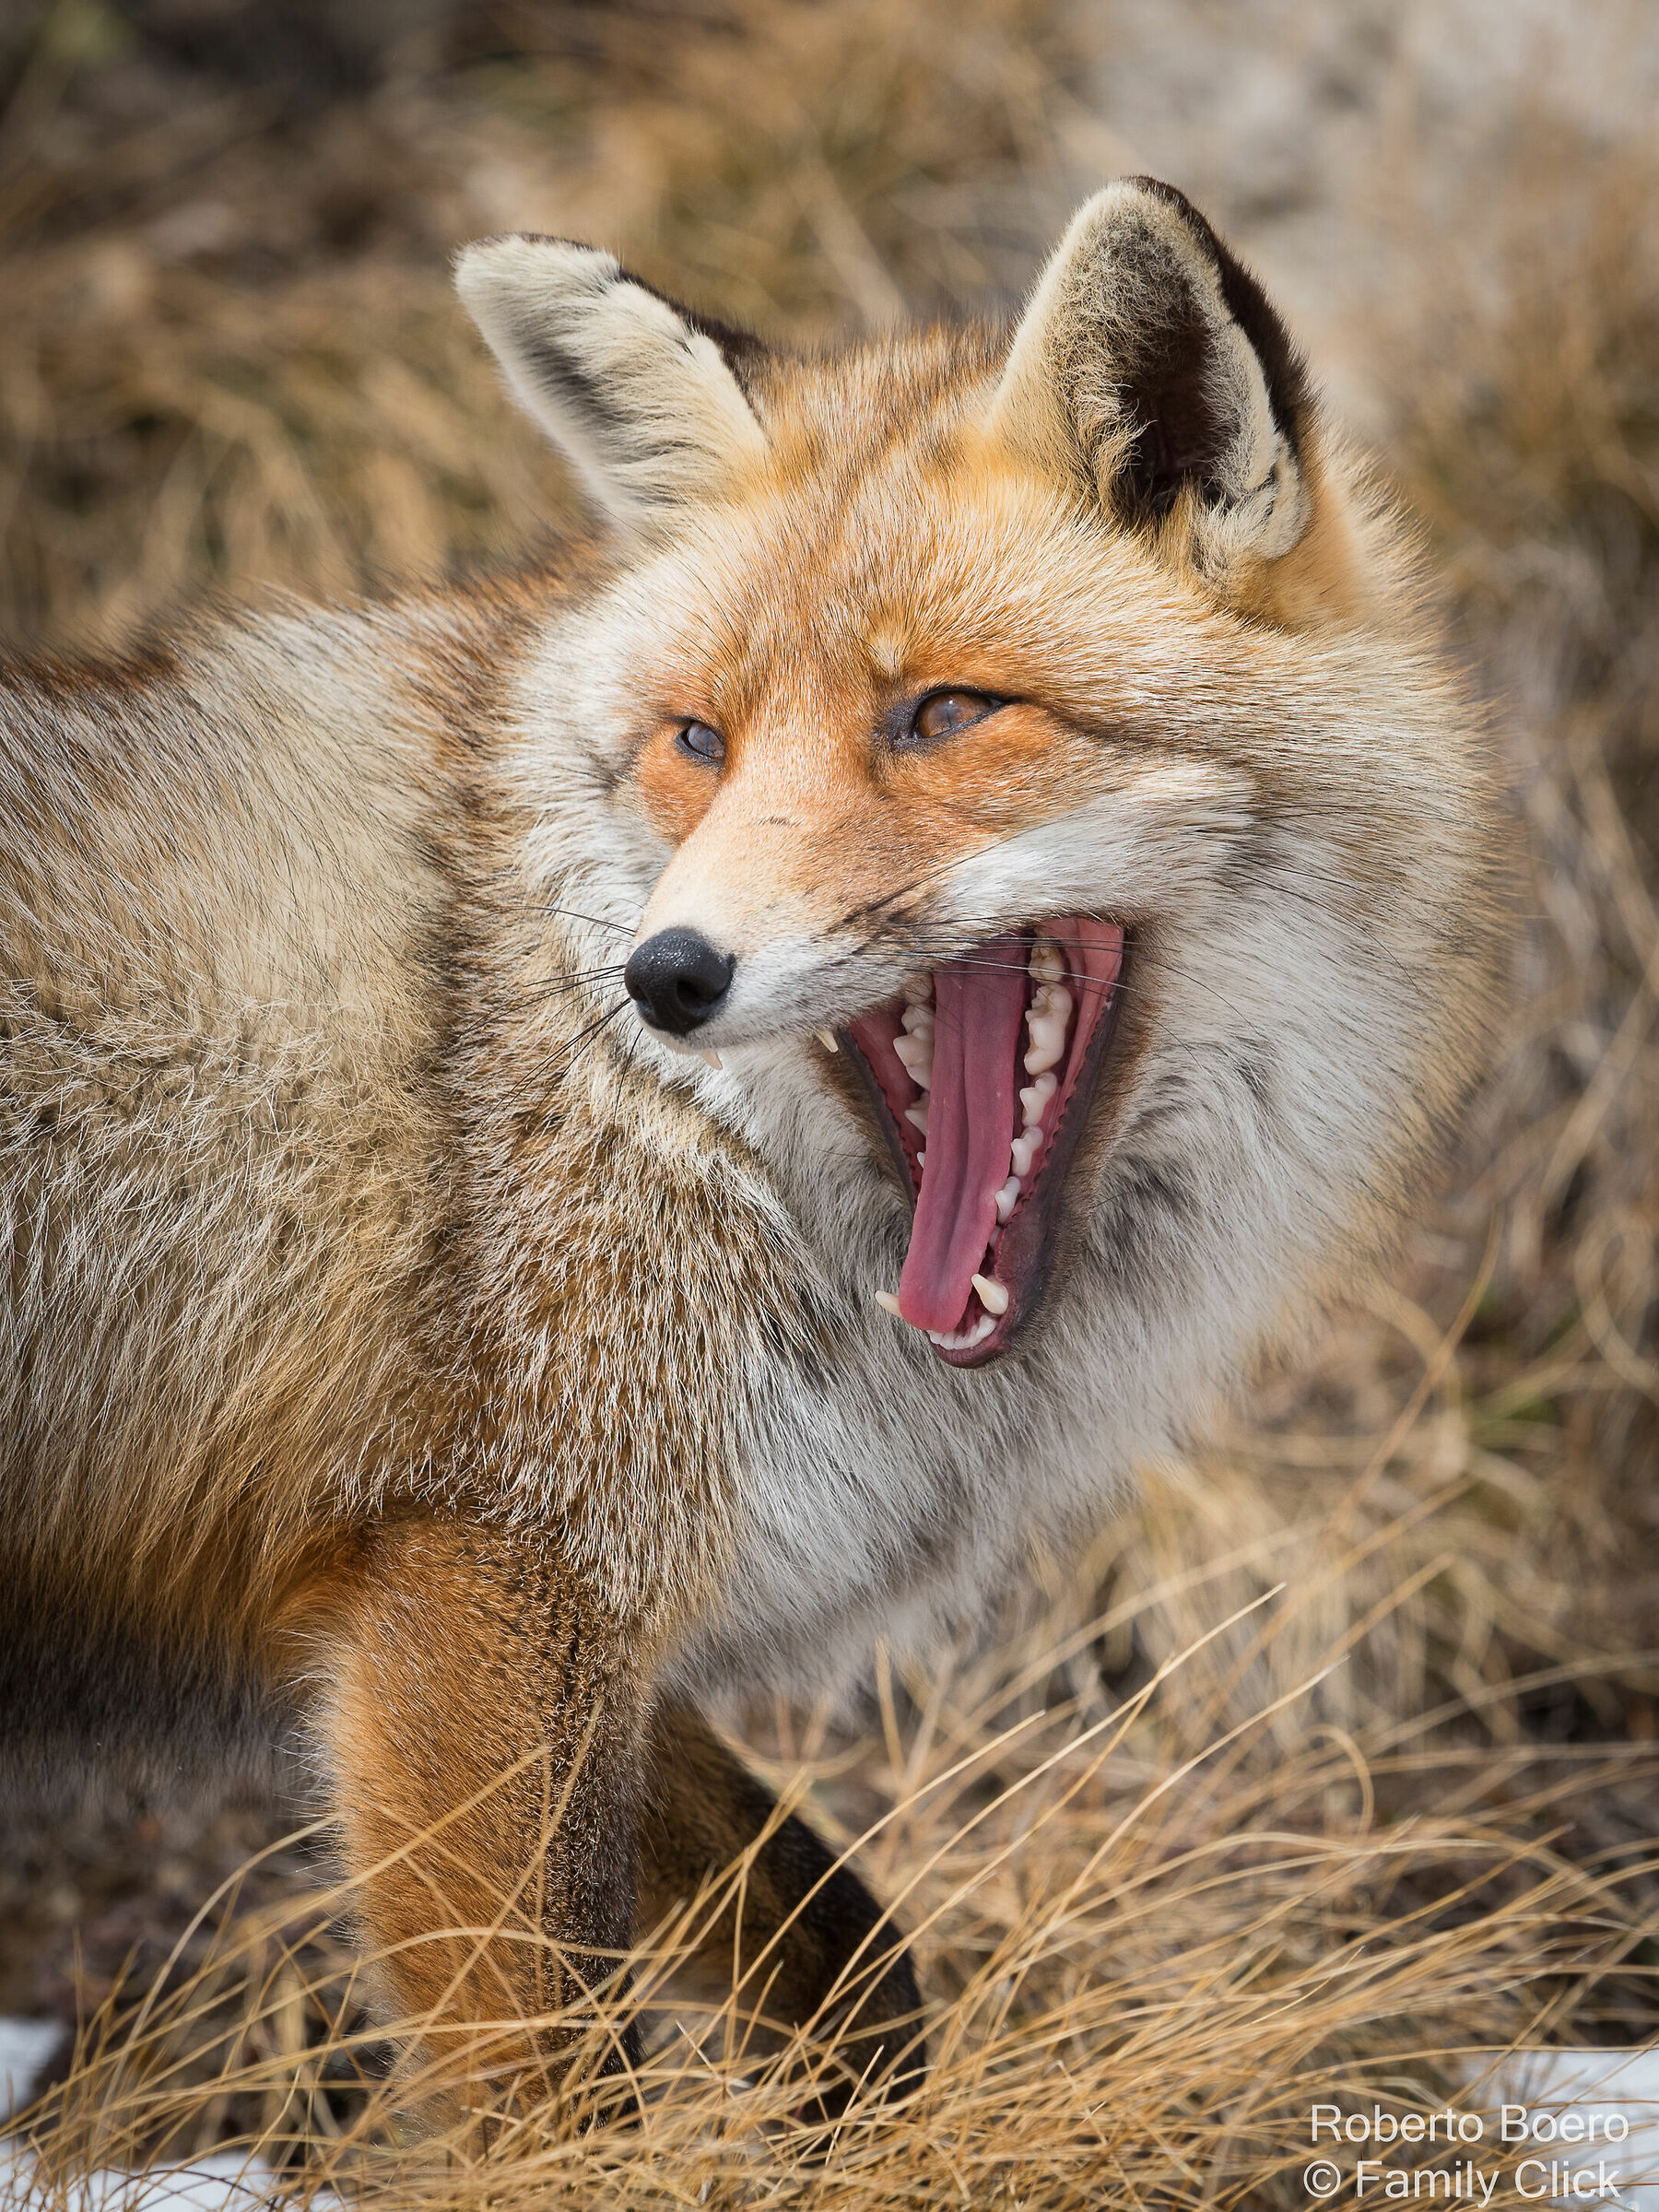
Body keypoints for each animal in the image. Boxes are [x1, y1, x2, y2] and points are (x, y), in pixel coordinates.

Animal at [0, 178, 1503, 2129]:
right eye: (698, 741)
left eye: (945, 714)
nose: (666, 974)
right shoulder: (473, 1598)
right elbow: (551, 2098)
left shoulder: (590, 1636)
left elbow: (849, 1948)